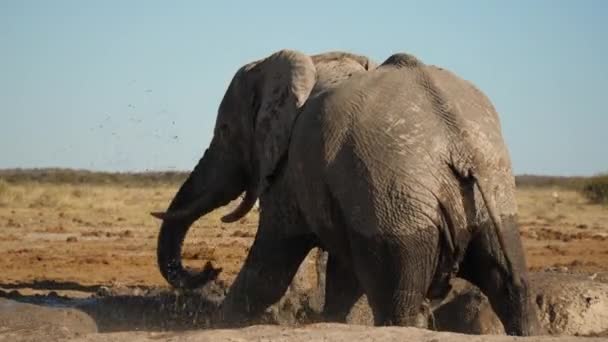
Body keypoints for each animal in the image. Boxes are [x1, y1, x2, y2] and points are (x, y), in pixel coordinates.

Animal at [151, 49, 536, 336]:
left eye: (226, 131)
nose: (210, 266)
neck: (311, 63)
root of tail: (460, 144)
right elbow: (343, 278)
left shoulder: (289, 171)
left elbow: (270, 267)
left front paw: (221, 323)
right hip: (490, 192)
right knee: (510, 284)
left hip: (397, 204)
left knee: (400, 302)